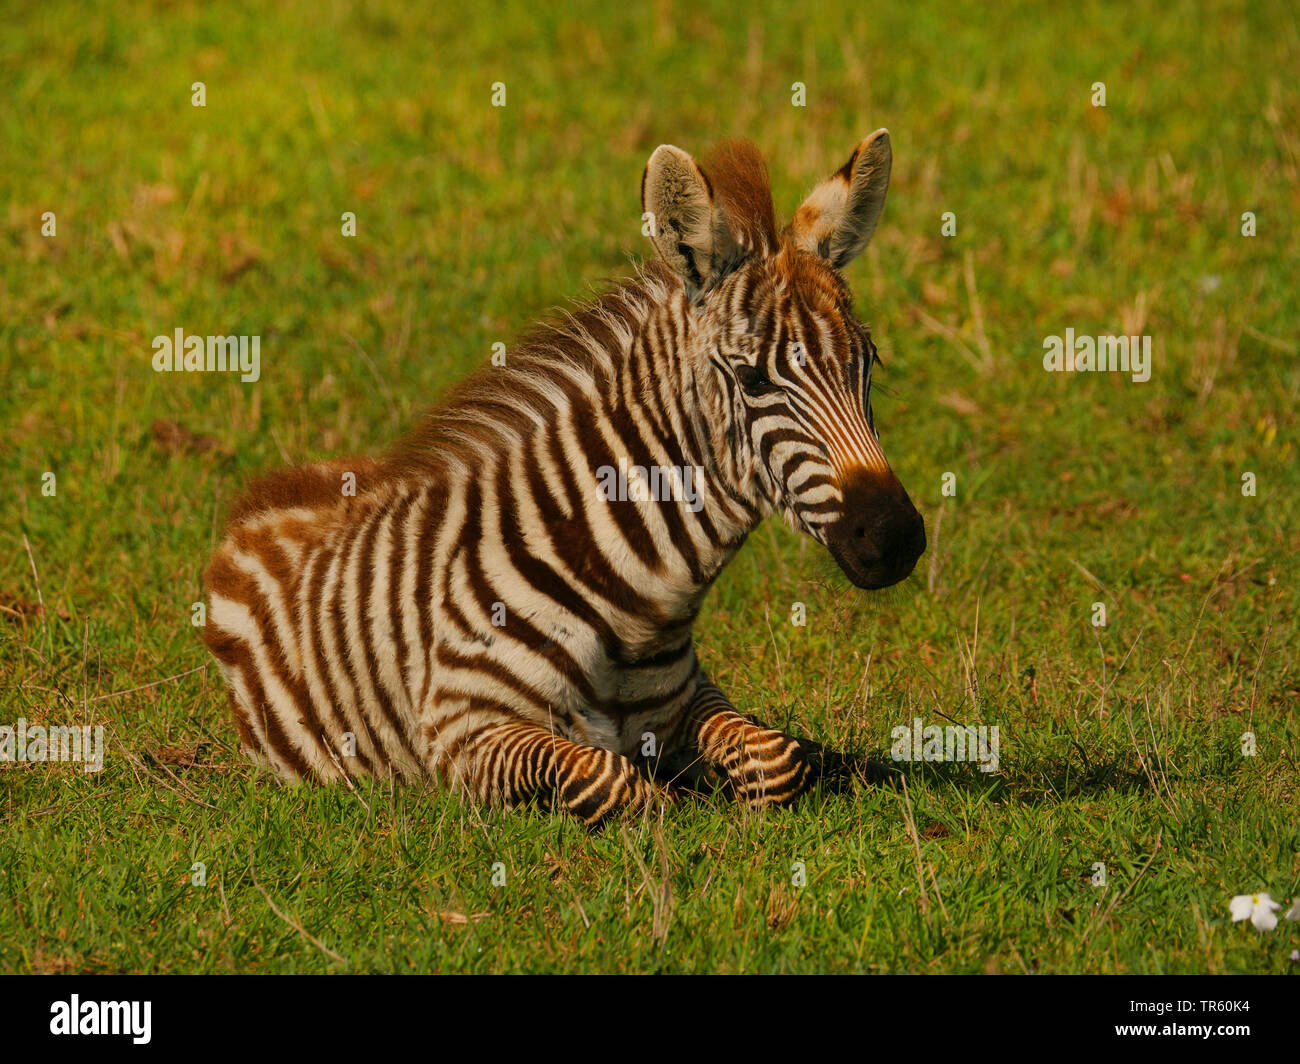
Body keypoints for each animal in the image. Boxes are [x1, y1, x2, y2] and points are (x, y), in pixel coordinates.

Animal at [202, 132, 925, 827]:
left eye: (870, 362)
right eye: (752, 379)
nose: (897, 538)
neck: (635, 610)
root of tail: (264, 496)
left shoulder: (691, 699)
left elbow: (778, 759)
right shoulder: (464, 730)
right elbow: (620, 784)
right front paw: (680, 797)